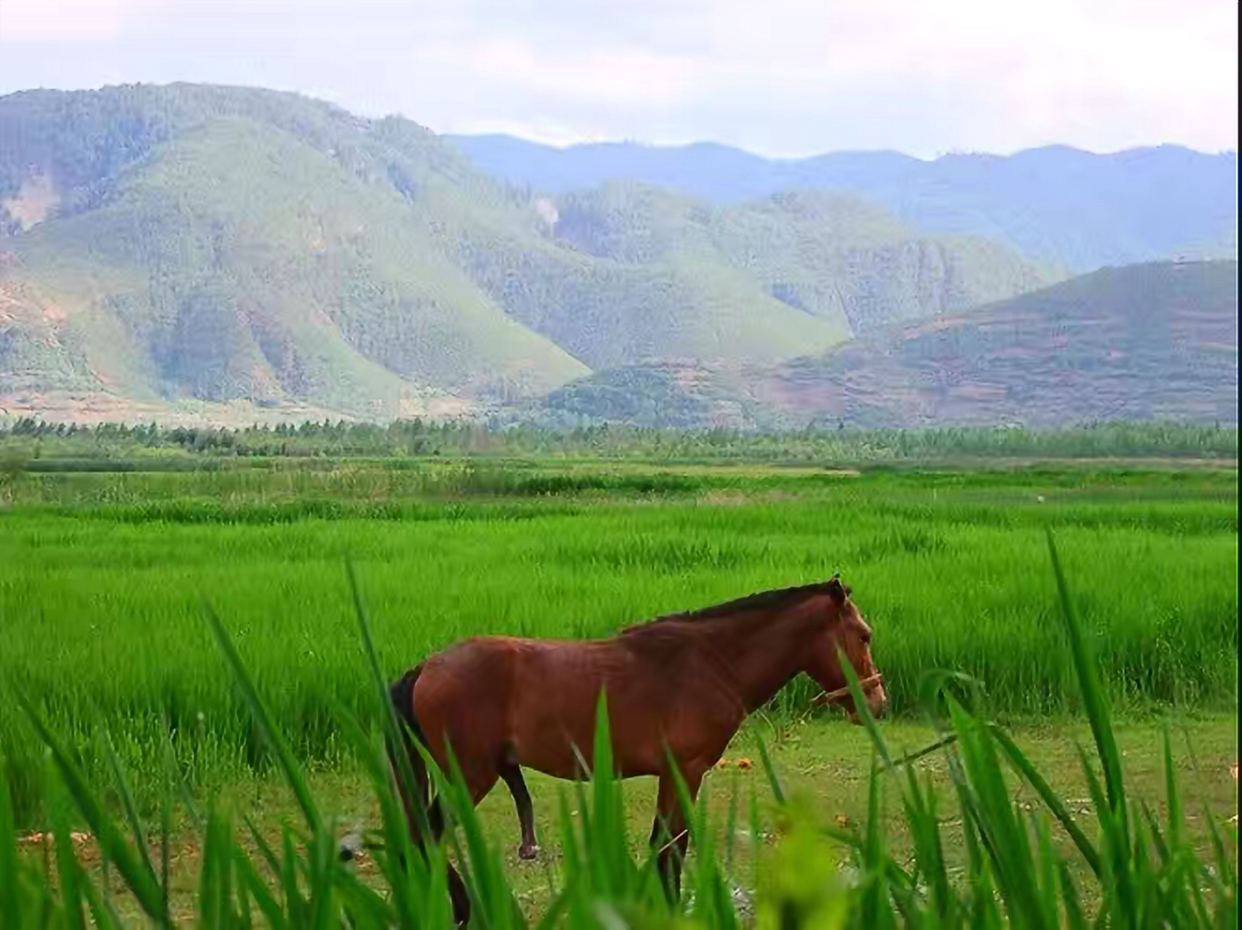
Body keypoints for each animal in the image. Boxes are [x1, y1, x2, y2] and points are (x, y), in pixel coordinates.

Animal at [378, 574, 886, 926]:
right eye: (864, 634)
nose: (878, 702)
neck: (712, 662)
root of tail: (427, 667)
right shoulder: (685, 771)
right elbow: (672, 849)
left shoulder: (675, 775)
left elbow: (664, 847)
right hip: (469, 774)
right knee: (428, 834)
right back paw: (465, 909)